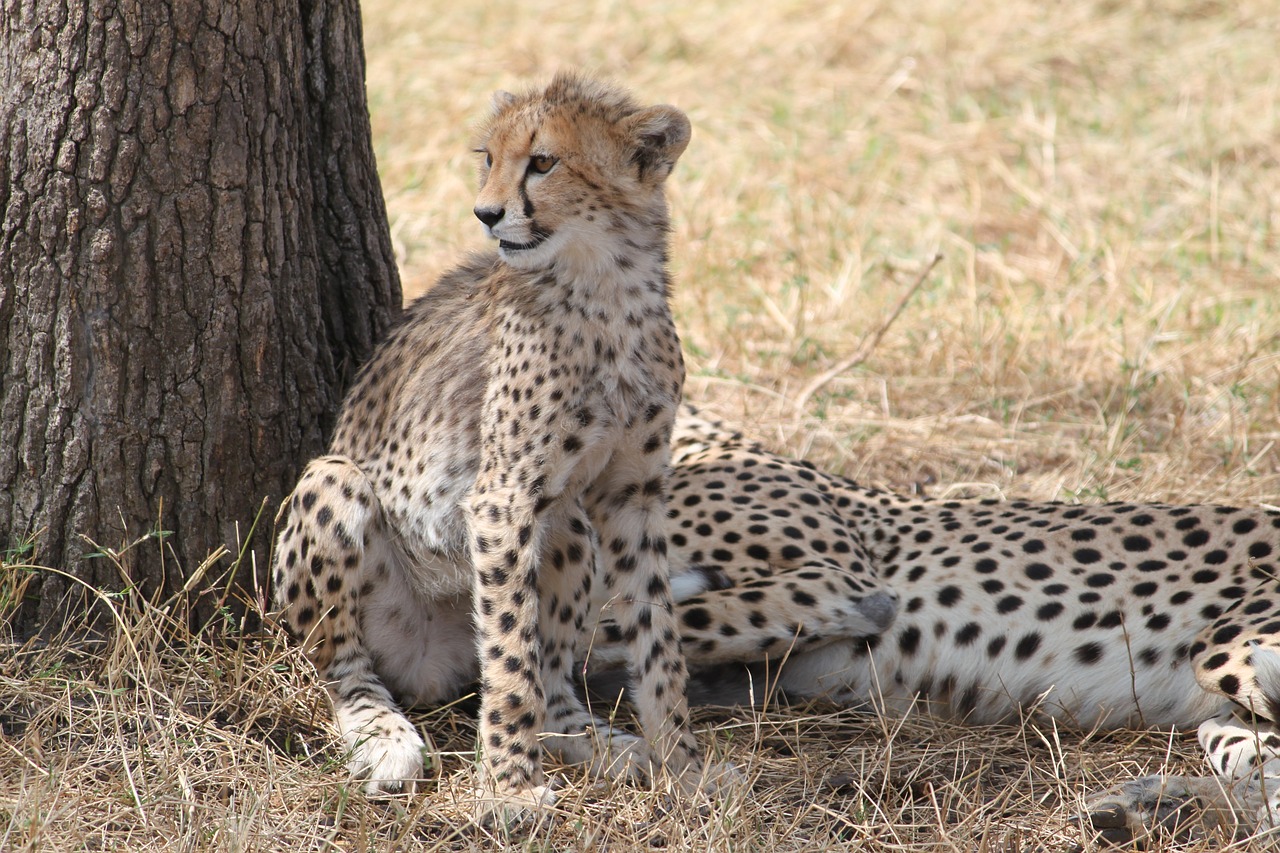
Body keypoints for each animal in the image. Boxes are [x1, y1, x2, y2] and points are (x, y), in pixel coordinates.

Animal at [272, 71, 711, 804]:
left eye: (544, 161)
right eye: (489, 157)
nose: (485, 213)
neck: (606, 286)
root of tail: (429, 666)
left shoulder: (630, 494)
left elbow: (657, 637)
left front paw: (687, 765)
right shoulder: (501, 499)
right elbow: (510, 655)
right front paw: (508, 788)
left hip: (569, 525)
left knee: (554, 672)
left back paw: (594, 741)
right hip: (336, 482)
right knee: (339, 661)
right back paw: (382, 735)